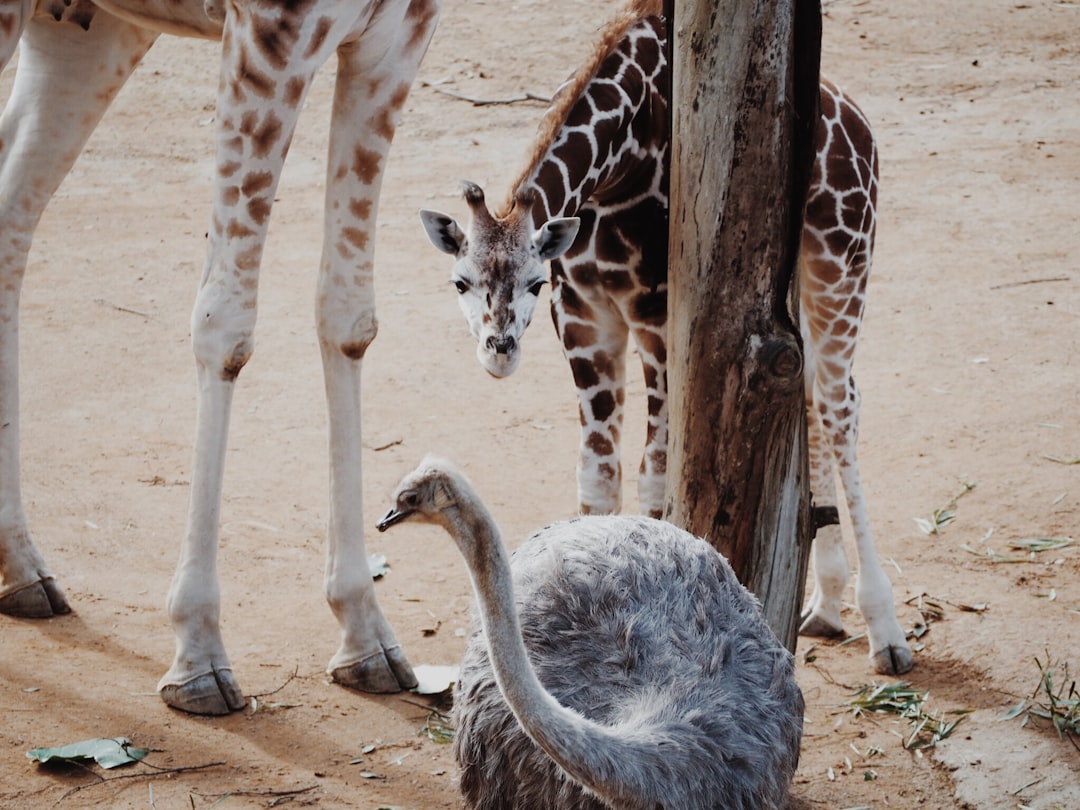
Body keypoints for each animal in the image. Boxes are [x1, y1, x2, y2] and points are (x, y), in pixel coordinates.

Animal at [0, 0, 442, 712]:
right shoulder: (268, 34)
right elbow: (224, 326)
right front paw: (199, 650)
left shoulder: (398, 40)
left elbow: (348, 315)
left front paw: (366, 634)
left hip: (87, 30)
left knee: (13, 213)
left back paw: (21, 567)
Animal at [419, 0, 911, 673]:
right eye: (460, 281)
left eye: (533, 281)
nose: (499, 351)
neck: (618, 167)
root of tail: (858, 123)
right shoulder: (585, 318)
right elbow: (597, 476)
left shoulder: (656, 316)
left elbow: (654, 477)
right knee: (809, 392)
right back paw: (827, 606)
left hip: (843, 255)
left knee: (841, 406)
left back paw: (885, 630)